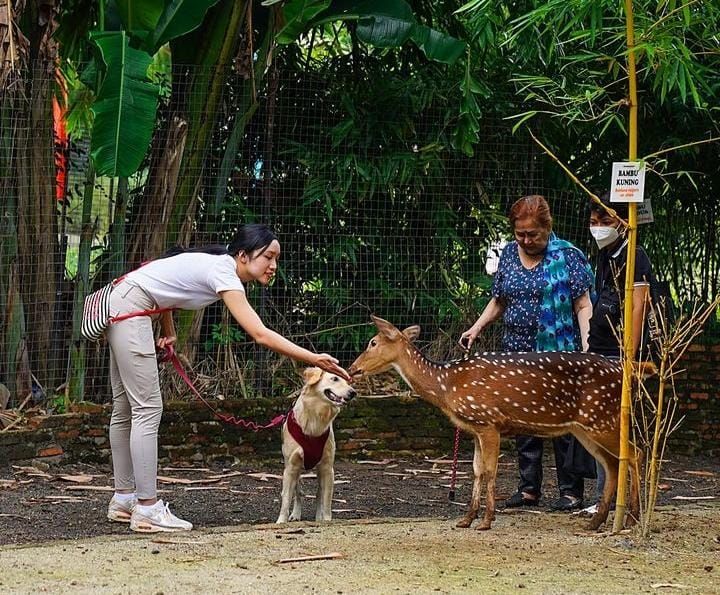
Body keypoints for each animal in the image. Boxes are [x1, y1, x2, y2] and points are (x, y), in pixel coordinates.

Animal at [276, 368, 354, 520]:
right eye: (335, 378)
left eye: (348, 382)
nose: (353, 393)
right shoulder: (290, 467)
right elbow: (286, 499)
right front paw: (281, 521)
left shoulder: (327, 468)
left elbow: (326, 501)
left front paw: (326, 520)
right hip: (296, 471)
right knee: (298, 492)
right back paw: (296, 514)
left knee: (319, 495)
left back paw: (318, 517)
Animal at [348, 314, 652, 532]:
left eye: (372, 343)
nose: (352, 368)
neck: (447, 385)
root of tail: (626, 371)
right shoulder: (474, 428)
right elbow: (476, 471)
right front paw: (466, 518)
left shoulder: (489, 422)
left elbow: (490, 471)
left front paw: (486, 520)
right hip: (586, 428)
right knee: (613, 463)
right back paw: (597, 522)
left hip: (602, 418)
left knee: (635, 453)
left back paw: (632, 519)